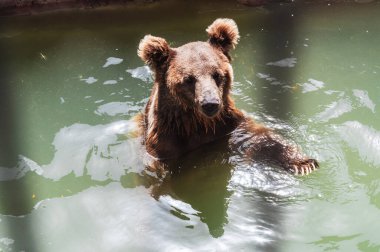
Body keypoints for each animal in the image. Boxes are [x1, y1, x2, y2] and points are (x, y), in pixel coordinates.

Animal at [137, 18, 318, 175]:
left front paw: (304, 163)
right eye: (188, 79)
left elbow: (262, 138)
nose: (210, 103)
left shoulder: (230, 127)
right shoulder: (165, 145)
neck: (198, 123)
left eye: (217, 75)